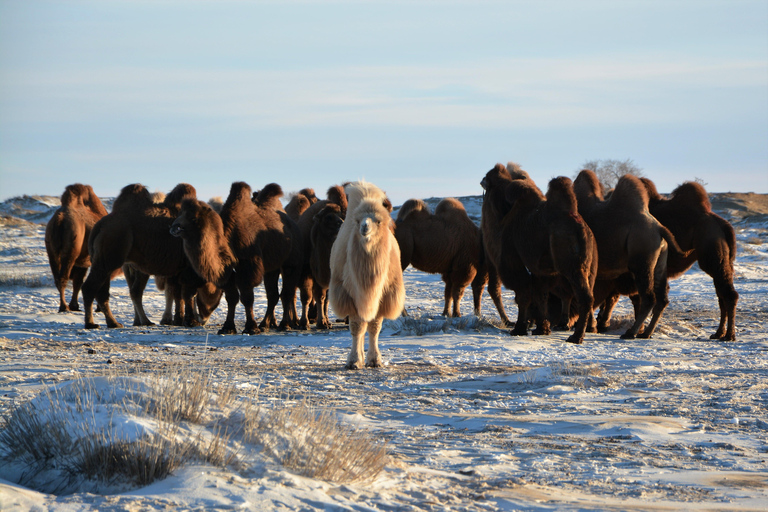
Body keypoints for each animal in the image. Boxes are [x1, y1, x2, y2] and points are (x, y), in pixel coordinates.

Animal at [44, 184, 108, 312]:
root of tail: (59, 220)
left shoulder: (81, 262)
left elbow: (78, 282)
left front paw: (75, 306)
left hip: (51, 251)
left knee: (58, 277)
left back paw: (65, 306)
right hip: (71, 250)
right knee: (63, 277)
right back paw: (64, 307)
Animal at [82, 183, 198, 328]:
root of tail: (99, 226)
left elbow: (178, 292)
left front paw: (180, 320)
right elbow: (187, 292)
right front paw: (187, 320)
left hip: (105, 260)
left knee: (109, 291)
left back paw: (115, 323)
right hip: (109, 256)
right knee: (90, 287)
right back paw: (91, 323)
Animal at [328, 180, 404, 368]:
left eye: (378, 221)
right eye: (357, 220)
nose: (364, 227)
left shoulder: (384, 295)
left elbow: (375, 328)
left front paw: (375, 360)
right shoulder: (350, 295)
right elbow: (357, 328)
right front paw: (354, 360)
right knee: (361, 327)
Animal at [488, 176, 596, 344]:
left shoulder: (512, 256)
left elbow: (523, 293)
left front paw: (519, 329)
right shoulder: (541, 269)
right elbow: (540, 294)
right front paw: (542, 329)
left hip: (571, 264)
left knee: (583, 297)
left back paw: (576, 337)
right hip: (587, 267)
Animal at [572, 171, 688, 340]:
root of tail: (659, 228)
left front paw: (590, 326)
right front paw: (591, 326)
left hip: (641, 260)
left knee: (648, 298)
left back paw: (631, 332)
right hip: (659, 262)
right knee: (662, 299)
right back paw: (646, 333)